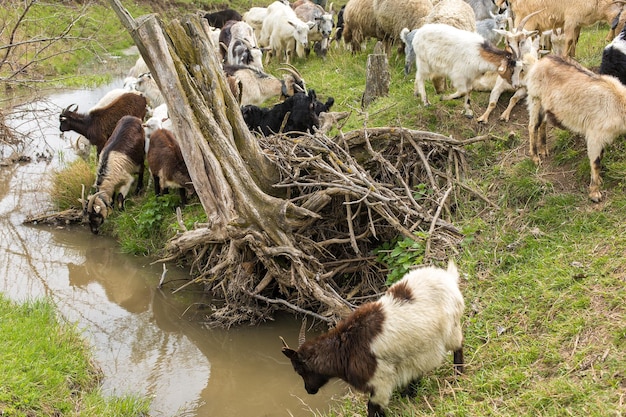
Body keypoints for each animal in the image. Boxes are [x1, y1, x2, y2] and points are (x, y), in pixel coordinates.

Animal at [282, 260, 464, 416]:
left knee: (458, 347)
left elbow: (372, 407)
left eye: (299, 369)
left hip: (451, 328)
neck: (346, 348)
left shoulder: (380, 381)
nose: (309, 390)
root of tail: (448, 277)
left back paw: (458, 376)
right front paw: (409, 393)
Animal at [520, 54, 626, 202]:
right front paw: (595, 194)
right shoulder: (595, 135)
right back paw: (535, 158)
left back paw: (544, 150)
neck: (619, 103)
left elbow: (600, 156)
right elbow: (596, 162)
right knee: (532, 127)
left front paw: (599, 181)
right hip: (535, 99)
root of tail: (537, 63)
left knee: (543, 124)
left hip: (547, 106)